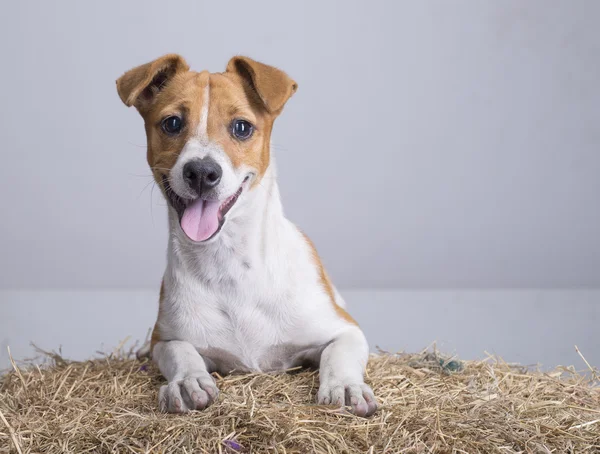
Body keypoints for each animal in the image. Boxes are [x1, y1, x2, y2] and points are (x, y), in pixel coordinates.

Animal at [116, 55, 376, 416]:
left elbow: (339, 354)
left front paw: (345, 386)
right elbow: (180, 351)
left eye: (241, 127)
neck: (230, 264)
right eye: (172, 123)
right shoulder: (165, 338)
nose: (201, 172)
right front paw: (188, 381)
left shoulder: (345, 329)